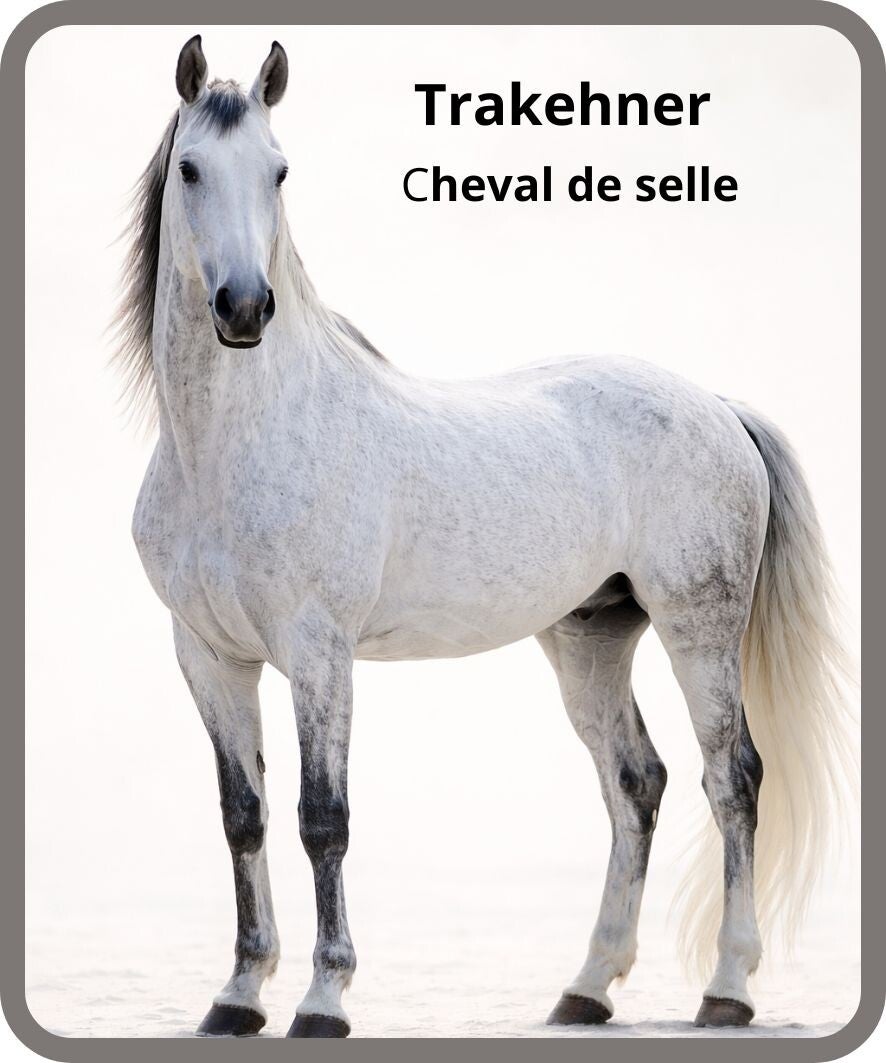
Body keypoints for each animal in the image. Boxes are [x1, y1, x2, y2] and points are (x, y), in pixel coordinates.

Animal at [115, 36, 853, 1038]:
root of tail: (716, 406)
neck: (234, 444)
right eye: (190, 168)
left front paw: (323, 999)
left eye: (279, 170)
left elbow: (321, 817)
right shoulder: (207, 654)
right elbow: (245, 815)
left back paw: (727, 990)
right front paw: (237, 995)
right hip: (589, 638)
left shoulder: (318, 652)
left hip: (699, 629)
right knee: (637, 782)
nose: (243, 309)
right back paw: (586, 989)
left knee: (730, 777)